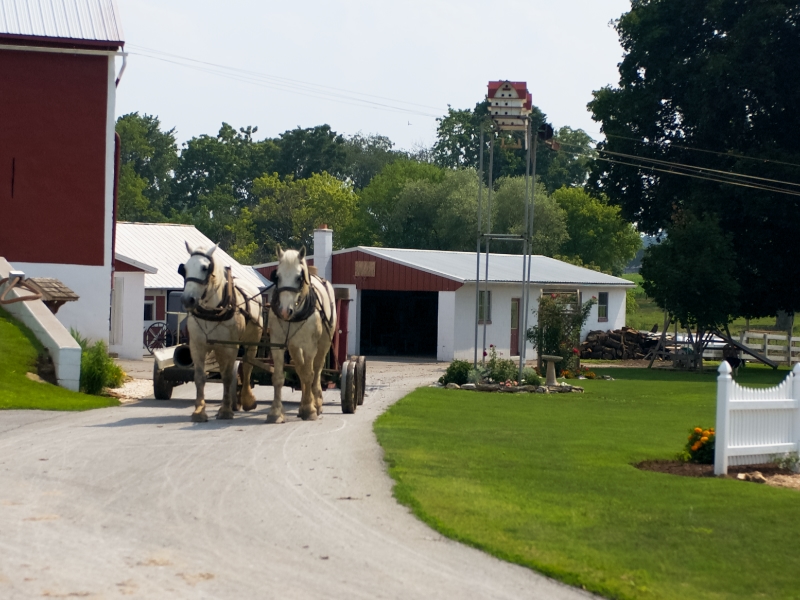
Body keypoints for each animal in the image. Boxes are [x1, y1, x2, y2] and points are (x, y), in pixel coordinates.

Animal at [180, 243, 262, 422]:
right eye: (185, 268)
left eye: (205, 268)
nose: (187, 299)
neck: (212, 311)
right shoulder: (197, 346)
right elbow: (200, 377)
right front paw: (199, 411)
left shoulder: (229, 347)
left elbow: (227, 376)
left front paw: (225, 410)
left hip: (252, 342)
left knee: (247, 367)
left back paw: (247, 399)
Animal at [266, 244, 334, 422]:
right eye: (277, 276)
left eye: (299, 277)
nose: (284, 311)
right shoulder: (277, 343)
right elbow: (278, 377)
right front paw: (275, 412)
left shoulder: (310, 346)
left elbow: (309, 374)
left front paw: (310, 409)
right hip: (295, 346)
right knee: (301, 369)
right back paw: (304, 404)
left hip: (324, 343)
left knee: (316, 370)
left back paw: (316, 403)